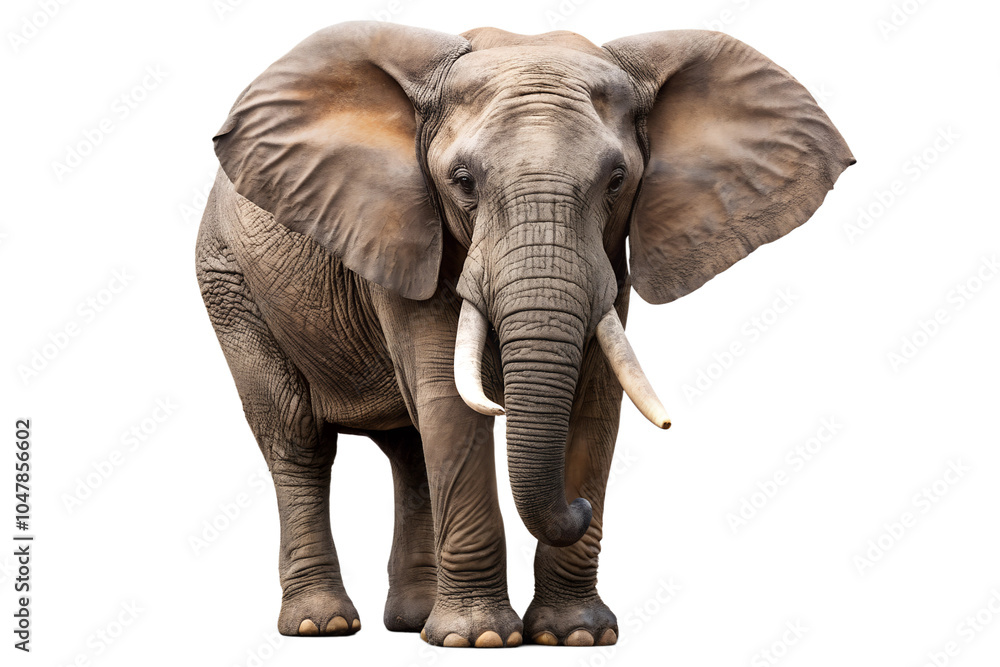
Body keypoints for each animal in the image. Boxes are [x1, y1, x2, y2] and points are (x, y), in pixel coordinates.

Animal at [195, 21, 853, 648]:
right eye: (462, 181)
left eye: (618, 180)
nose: (579, 507)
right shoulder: (409, 232)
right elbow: (449, 401)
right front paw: (480, 638)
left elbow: (595, 404)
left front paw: (576, 635)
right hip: (228, 283)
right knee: (298, 439)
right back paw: (323, 625)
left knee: (409, 451)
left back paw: (411, 622)